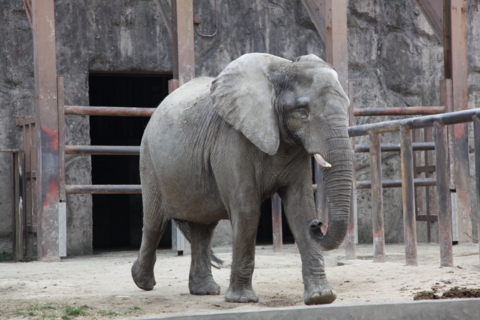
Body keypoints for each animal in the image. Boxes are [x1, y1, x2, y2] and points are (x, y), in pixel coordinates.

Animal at [131, 52, 352, 304]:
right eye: (302, 111)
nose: (318, 224)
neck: (283, 68)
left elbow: (300, 208)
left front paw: (321, 297)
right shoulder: (231, 140)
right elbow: (246, 208)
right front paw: (242, 299)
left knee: (203, 228)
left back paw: (205, 290)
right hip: (149, 158)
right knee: (155, 222)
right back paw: (143, 281)